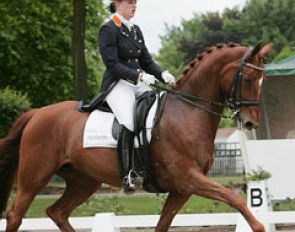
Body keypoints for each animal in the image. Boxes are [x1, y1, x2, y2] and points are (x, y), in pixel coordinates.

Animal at [0, 42, 272, 232]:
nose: (251, 122)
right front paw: (258, 226)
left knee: (57, 212)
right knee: (15, 215)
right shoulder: (189, 179)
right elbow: (234, 198)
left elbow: (163, 224)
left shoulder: (181, 189)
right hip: (34, 177)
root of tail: (36, 113)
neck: (186, 111)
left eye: (263, 81)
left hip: (83, 181)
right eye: (249, 79)